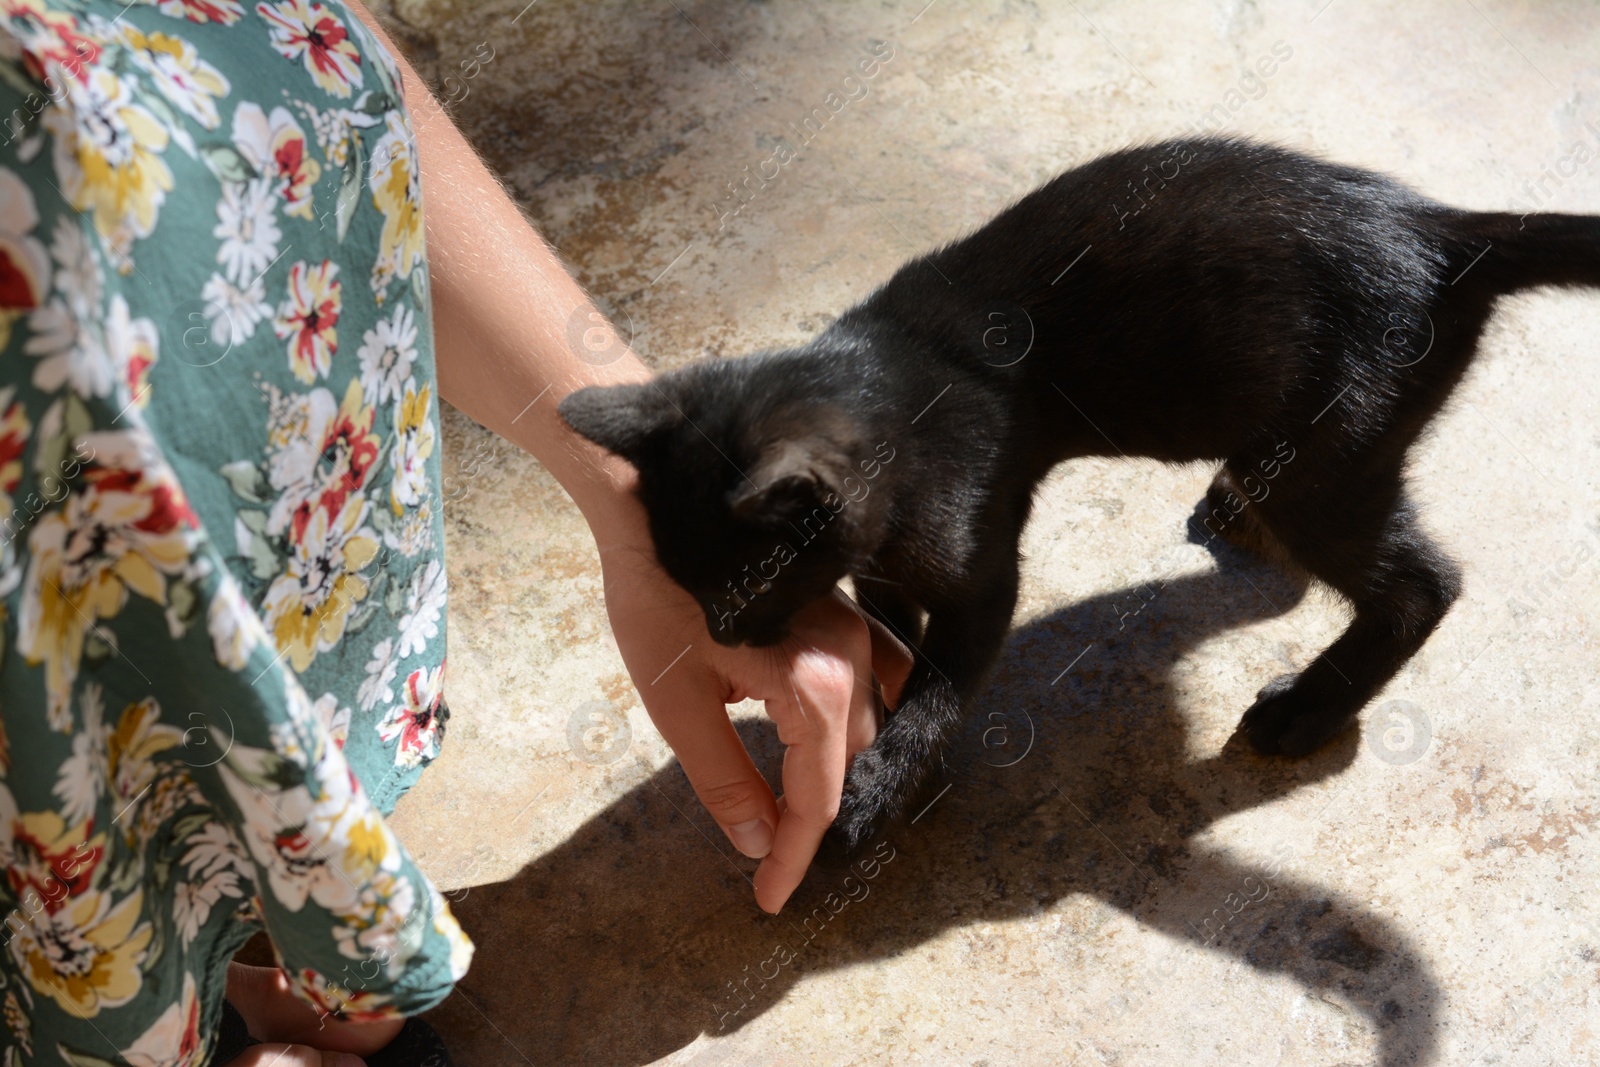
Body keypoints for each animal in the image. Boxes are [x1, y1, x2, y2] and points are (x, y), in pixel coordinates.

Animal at [560, 139, 1600, 857]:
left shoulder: (980, 571)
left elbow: (943, 683)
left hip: (1331, 460)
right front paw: (886, 713)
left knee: (1423, 582)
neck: (894, 376)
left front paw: (875, 788)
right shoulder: (886, 555)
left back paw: (1307, 710)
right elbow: (895, 628)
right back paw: (1237, 509)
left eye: (740, 589)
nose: (724, 637)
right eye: (689, 591)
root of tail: (1439, 227)